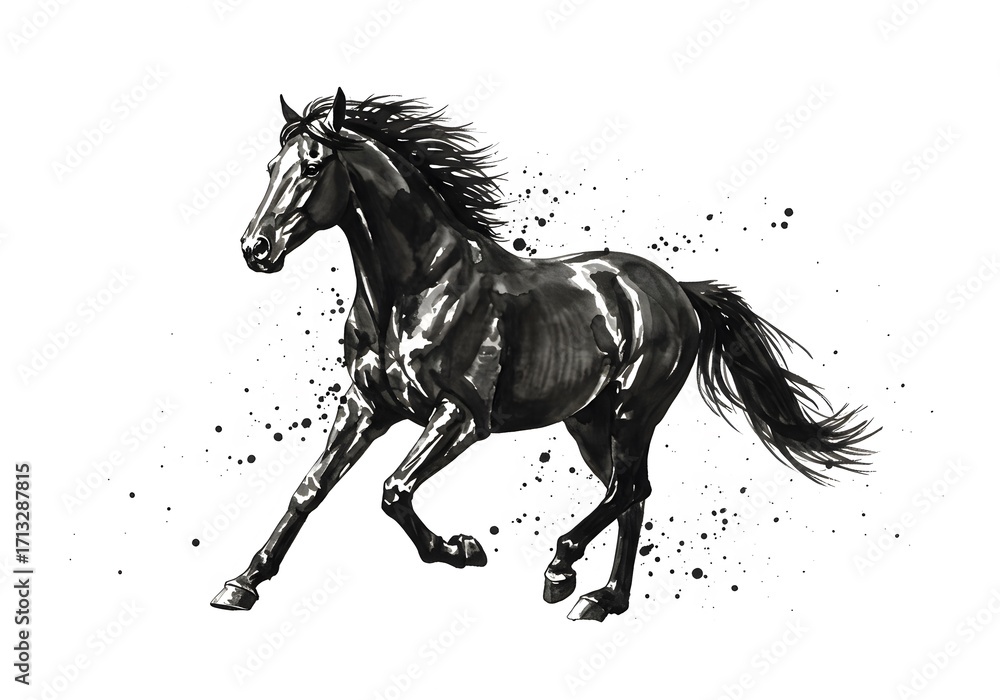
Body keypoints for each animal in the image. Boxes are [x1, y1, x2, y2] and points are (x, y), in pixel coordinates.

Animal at [211, 88, 877, 621]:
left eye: (313, 165)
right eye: (270, 165)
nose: (255, 248)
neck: (417, 288)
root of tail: (677, 290)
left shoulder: (460, 417)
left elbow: (393, 490)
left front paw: (462, 550)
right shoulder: (366, 407)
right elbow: (310, 488)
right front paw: (240, 585)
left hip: (634, 408)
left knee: (630, 489)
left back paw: (563, 570)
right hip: (588, 421)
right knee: (632, 493)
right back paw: (603, 599)